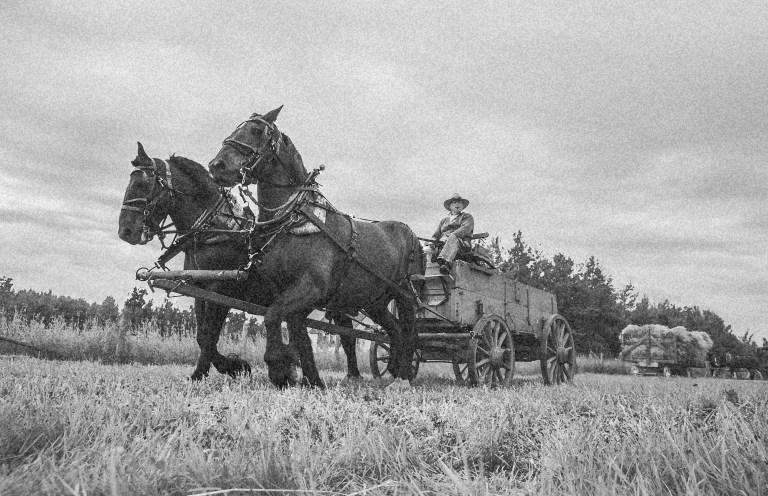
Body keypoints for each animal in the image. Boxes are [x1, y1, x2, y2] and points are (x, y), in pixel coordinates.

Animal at [118, 143, 325, 386]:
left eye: (142, 184)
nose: (125, 231)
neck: (215, 231)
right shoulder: (200, 289)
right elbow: (202, 335)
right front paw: (223, 368)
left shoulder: (221, 290)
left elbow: (210, 334)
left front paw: (226, 368)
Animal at [208, 106, 424, 387]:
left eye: (255, 131)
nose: (216, 166)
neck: (295, 220)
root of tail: (412, 235)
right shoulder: (289, 294)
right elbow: (300, 338)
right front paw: (312, 380)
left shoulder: (311, 288)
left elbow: (272, 316)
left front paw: (279, 368)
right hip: (375, 301)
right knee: (395, 331)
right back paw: (393, 374)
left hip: (405, 294)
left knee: (409, 333)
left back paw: (404, 376)